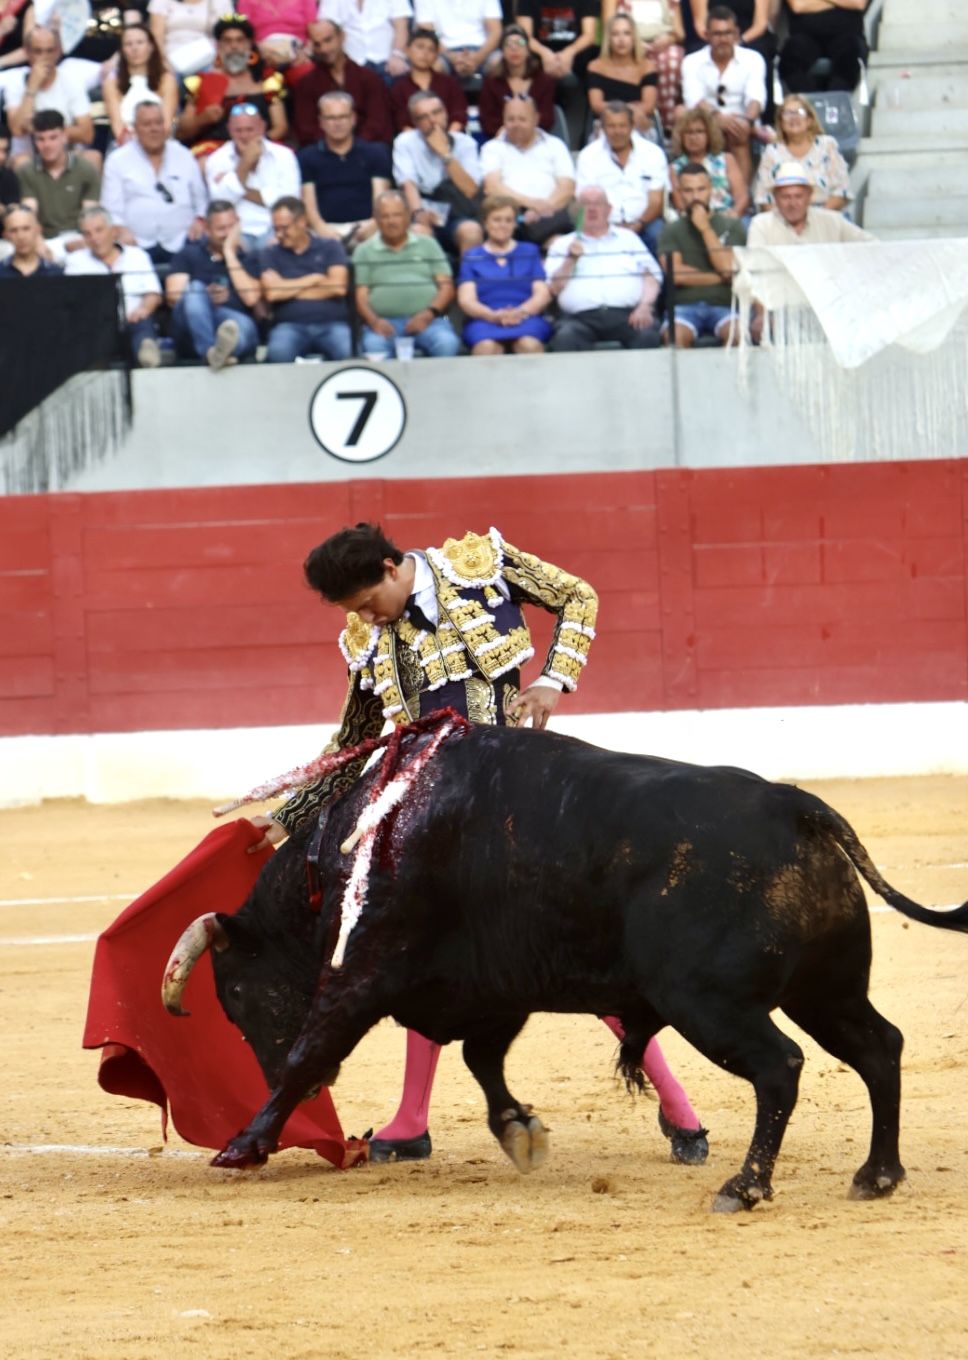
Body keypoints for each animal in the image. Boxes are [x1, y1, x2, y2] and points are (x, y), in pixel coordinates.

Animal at [162, 723, 962, 1213]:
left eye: (235, 992)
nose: (261, 1072)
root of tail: (794, 805)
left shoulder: (364, 971)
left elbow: (313, 1046)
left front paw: (242, 1145)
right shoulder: (493, 987)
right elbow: (483, 1061)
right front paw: (520, 1131)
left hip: (710, 1002)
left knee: (781, 1067)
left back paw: (745, 1186)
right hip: (826, 989)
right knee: (877, 1047)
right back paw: (876, 1175)